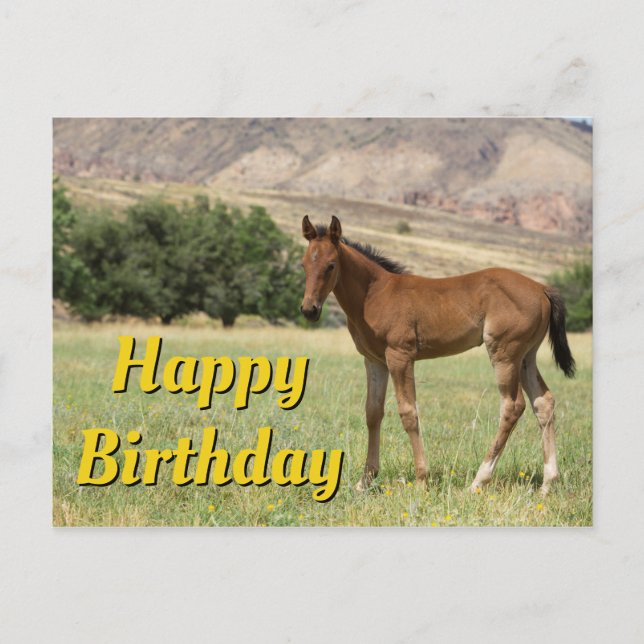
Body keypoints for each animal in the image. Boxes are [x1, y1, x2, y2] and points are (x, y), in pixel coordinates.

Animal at [299, 215, 575, 496]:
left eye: (331, 265)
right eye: (304, 264)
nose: (309, 309)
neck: (373, 294)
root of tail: (541, 288)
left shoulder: (400, 356)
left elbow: (408, 413)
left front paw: (422, 479)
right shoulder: (374, 361)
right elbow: (373, 412)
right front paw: (364, 480)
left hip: (504, 353)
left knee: (512, 406)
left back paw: (479, 481)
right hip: (526, 357)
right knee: (543, 402)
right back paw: (547, 483)